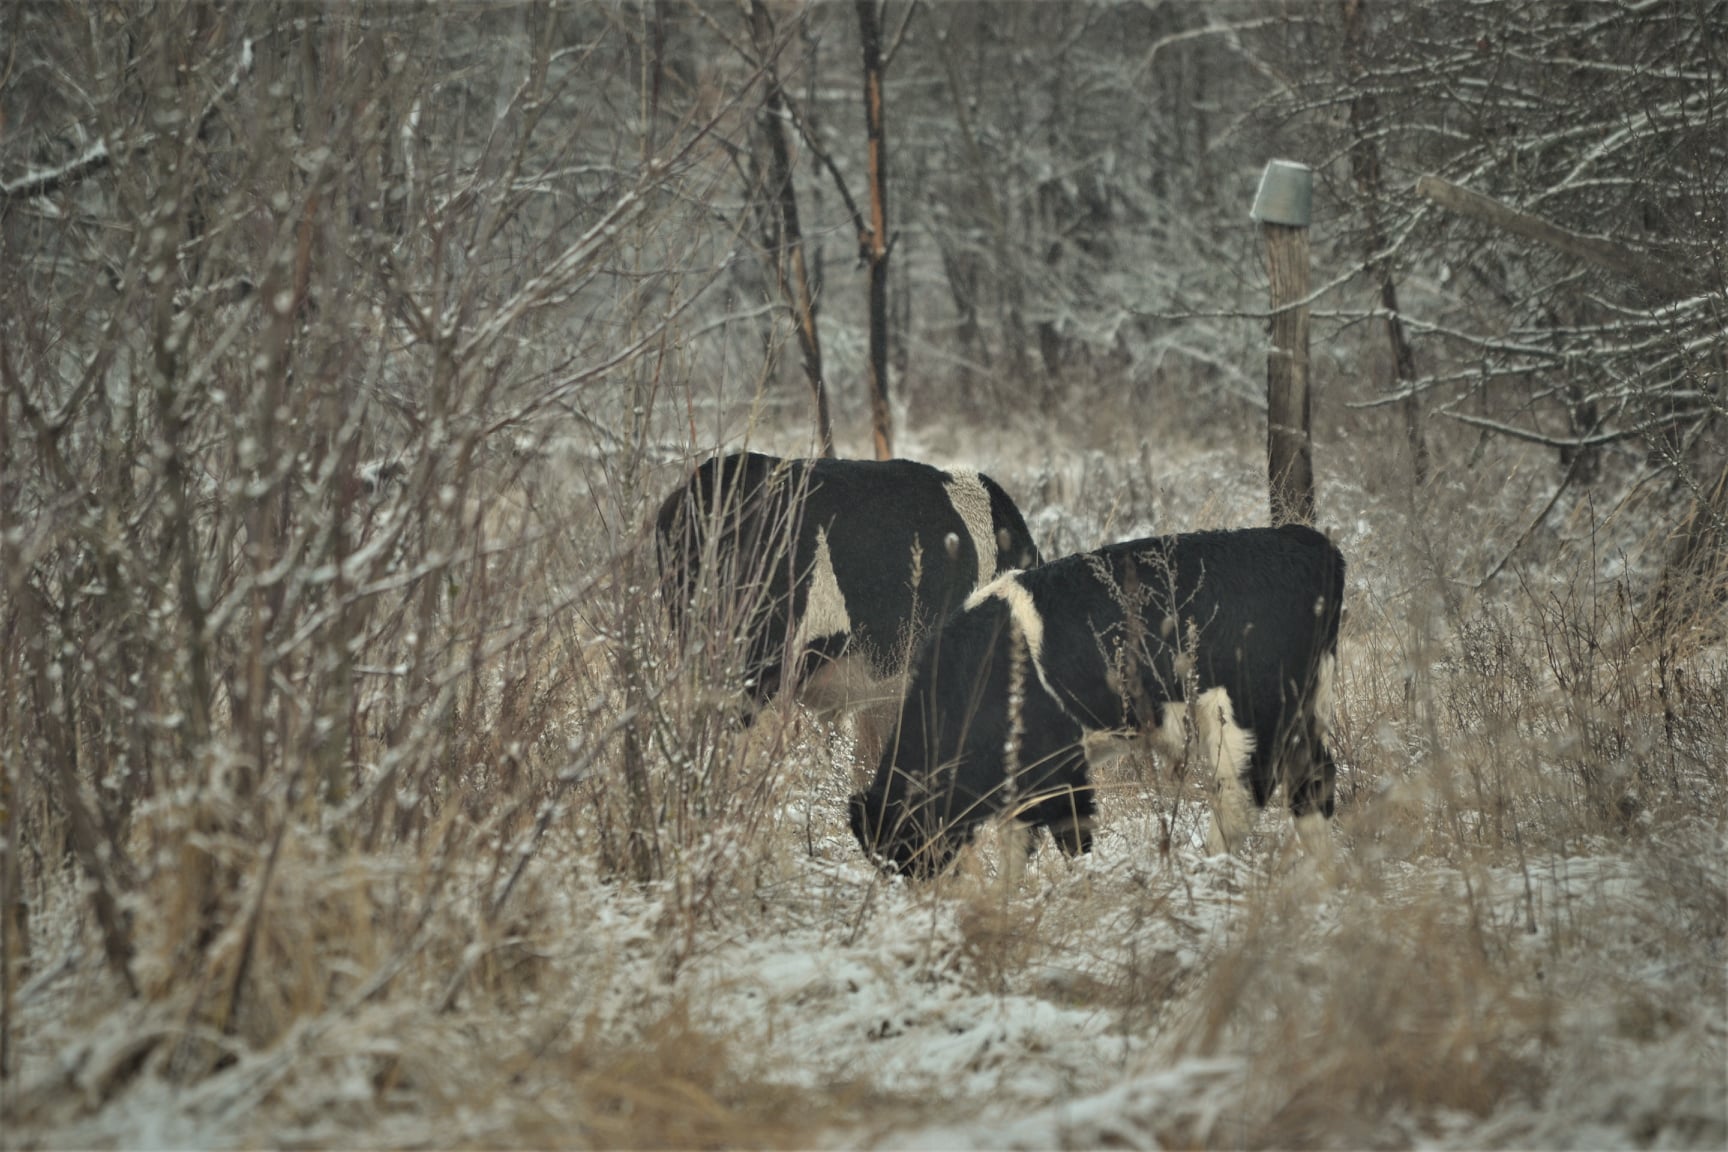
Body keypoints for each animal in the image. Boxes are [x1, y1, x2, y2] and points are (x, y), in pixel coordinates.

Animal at [850, 528, 1347, 877]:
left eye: (904, 845)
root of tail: (1304, 541)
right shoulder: (1022, 777)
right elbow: (1015, 848)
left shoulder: (1060, 769)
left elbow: (1071, 840)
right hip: (1303, 714)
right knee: (1314, 784)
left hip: (1247, 718)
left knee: (1241, 799)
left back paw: (1207, 870)